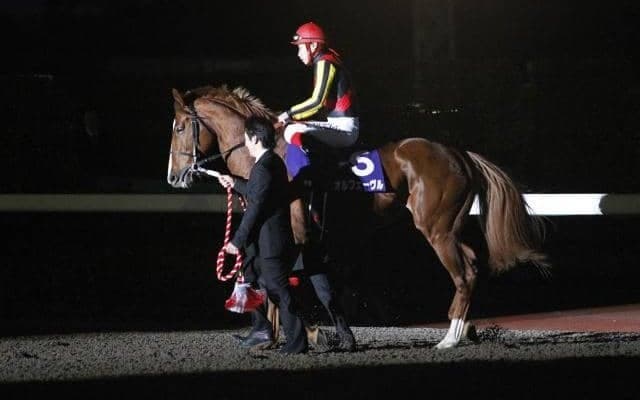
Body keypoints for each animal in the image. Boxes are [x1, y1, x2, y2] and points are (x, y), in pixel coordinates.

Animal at [167, 85, 549, 349]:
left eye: (181, 128)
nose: (173, 176)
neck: (265, 156)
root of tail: (459, 153)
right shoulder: (293, 236)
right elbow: (308, 284)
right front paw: (278, 334)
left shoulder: (292, 233)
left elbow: (285, 282)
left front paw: (299, 333)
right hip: (451, 227)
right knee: (473, 265)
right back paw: (465, 329)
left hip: (436, 230)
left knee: (465, 273)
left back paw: (450, 338)